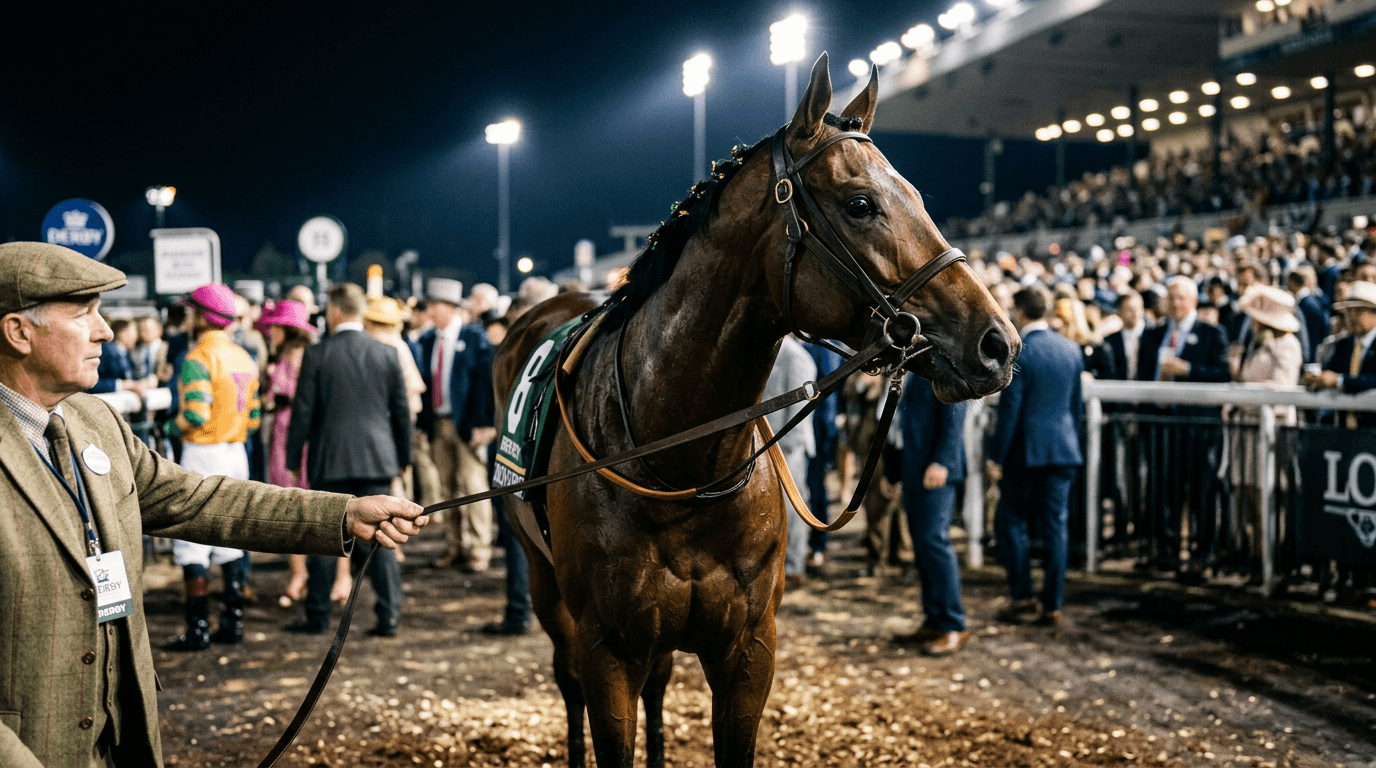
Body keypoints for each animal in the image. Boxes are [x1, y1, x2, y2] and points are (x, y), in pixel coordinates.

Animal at [492, 54, 1019, 768]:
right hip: (548, 590)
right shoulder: (608, 648)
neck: (679, 465)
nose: (998, 343)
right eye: (861, 204)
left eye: (918, 199)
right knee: (566, 679)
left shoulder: (748, 651)